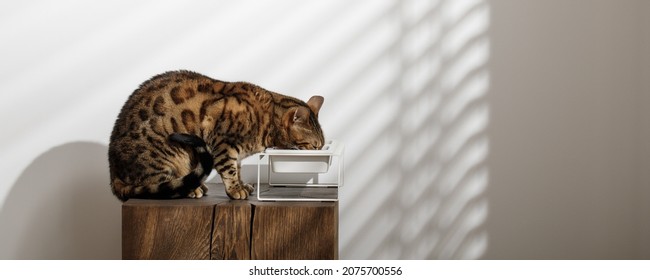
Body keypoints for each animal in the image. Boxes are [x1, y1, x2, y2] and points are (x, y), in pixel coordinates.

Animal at [109, 70, 326, 201]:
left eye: (321, 146)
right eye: (314, 146)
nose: (320, 151)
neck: (266, 118)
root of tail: (113, 174)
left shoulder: (236, 153)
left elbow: (237, 168)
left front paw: (242, 184)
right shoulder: (222, 142)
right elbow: (229, 169)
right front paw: (235, 190)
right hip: (167, 155)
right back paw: (192, 189)